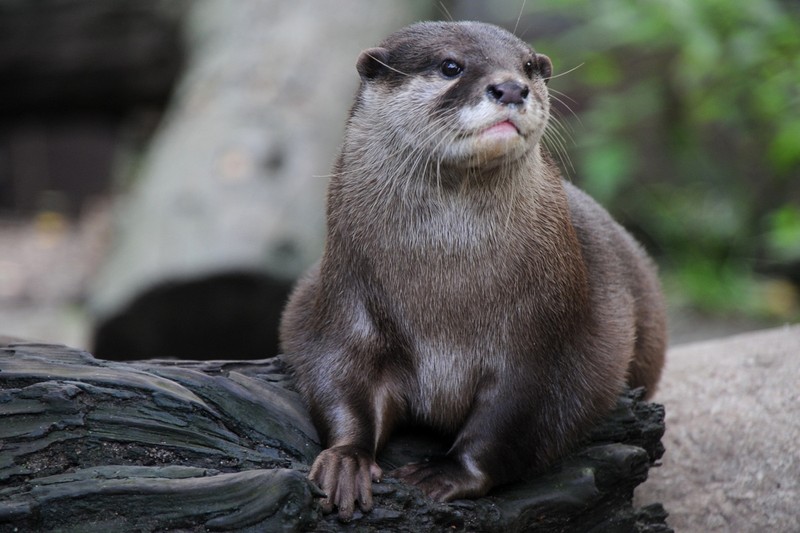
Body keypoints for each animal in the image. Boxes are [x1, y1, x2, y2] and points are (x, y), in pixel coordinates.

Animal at [278, 20, 664, 520]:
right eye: (450, 66)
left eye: (528, 66)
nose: (511, 88)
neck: (447, 294)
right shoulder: (344, 297)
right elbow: (338, 376)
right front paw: (347, 461)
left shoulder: (545, 336)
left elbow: (515, 417)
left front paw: (445, 474)